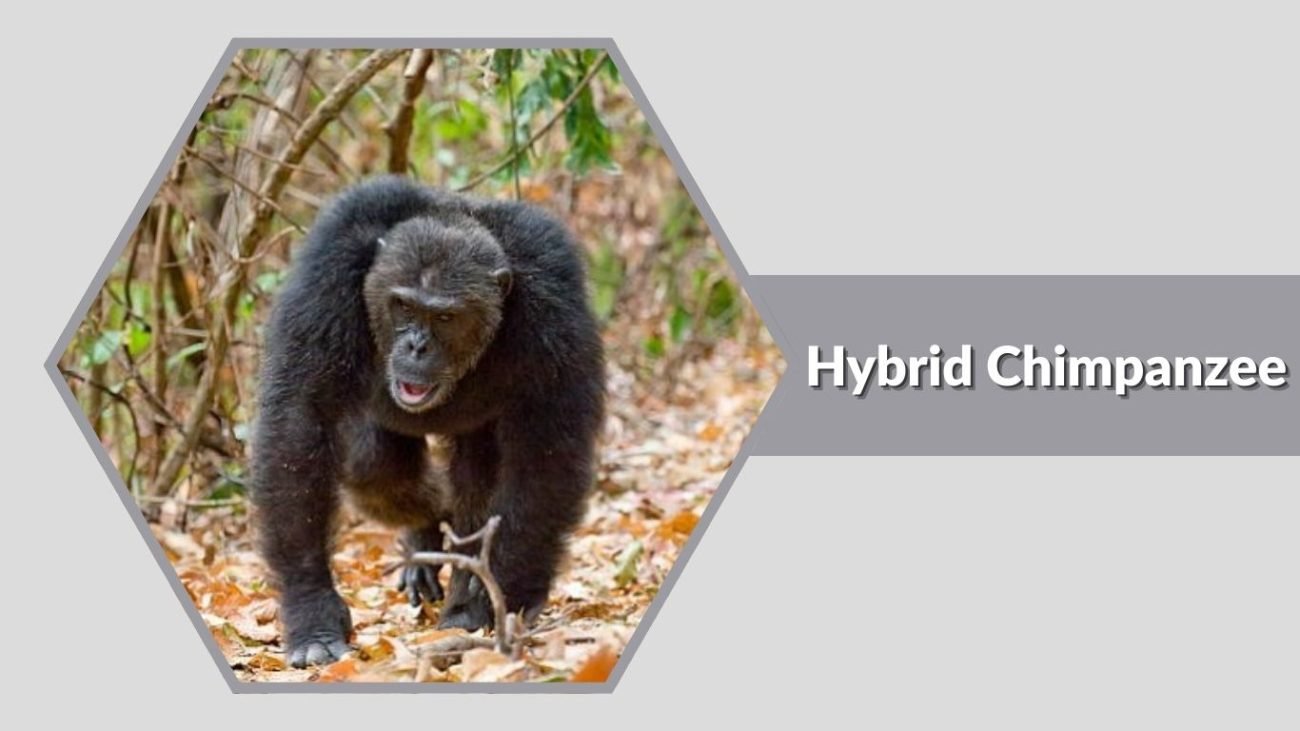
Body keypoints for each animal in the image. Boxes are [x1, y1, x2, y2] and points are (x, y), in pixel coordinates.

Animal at [249, 176, 604, 668]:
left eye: (445, 317)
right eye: (404, 307)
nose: (417, 346)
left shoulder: (554, 296)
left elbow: (546, 454)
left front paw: (494, 602)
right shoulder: (333, 256)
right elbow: (300, 419)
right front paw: (312, 610)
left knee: (475, 480)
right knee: (375, 471)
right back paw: (427, 540)